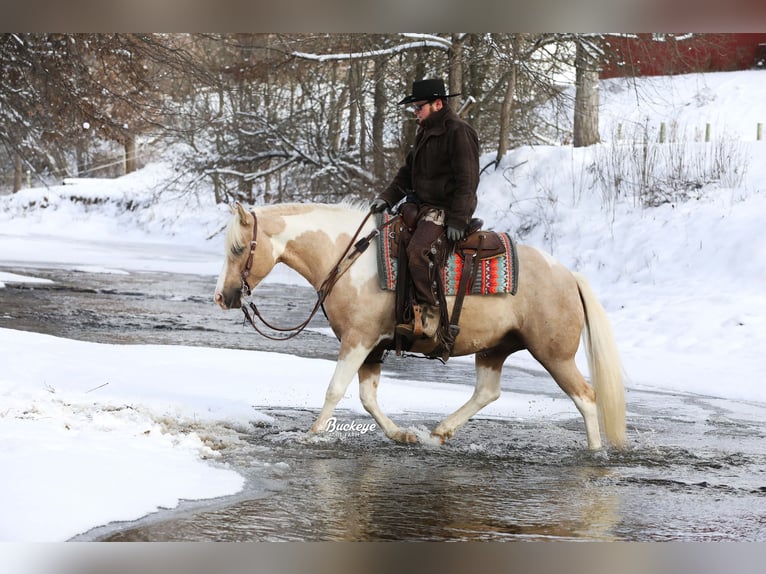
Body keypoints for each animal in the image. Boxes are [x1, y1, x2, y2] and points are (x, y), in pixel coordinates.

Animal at [213, 204, 628, 454]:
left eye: (237, 249)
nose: (222, 296)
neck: (349, 259)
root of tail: (569, 276)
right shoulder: (373, 348)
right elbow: (367, 397)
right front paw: (403, 434)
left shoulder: (358, 340)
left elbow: (335, 389)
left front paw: (312, 434)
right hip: (494, 348)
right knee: (487, 392)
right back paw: (439, 432)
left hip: (554, 354)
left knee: (586, 397)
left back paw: (595, 452)